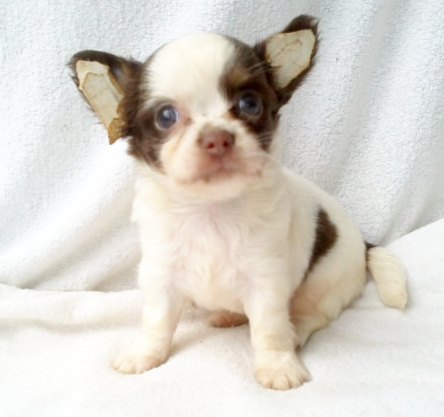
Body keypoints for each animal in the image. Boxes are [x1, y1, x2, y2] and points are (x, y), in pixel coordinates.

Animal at [70, 15, 408, 390]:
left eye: (249, 104)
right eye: (166, 117)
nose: (217, 138)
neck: (211, 211)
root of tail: (363, 244)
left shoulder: (267, 282)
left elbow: (269, 330)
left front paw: (278, 366)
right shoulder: (161, 276)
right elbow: (157, 322)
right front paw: (144, 354)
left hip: (328, 280)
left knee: (313, 313)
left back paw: (295, 331)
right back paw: (228, 315)